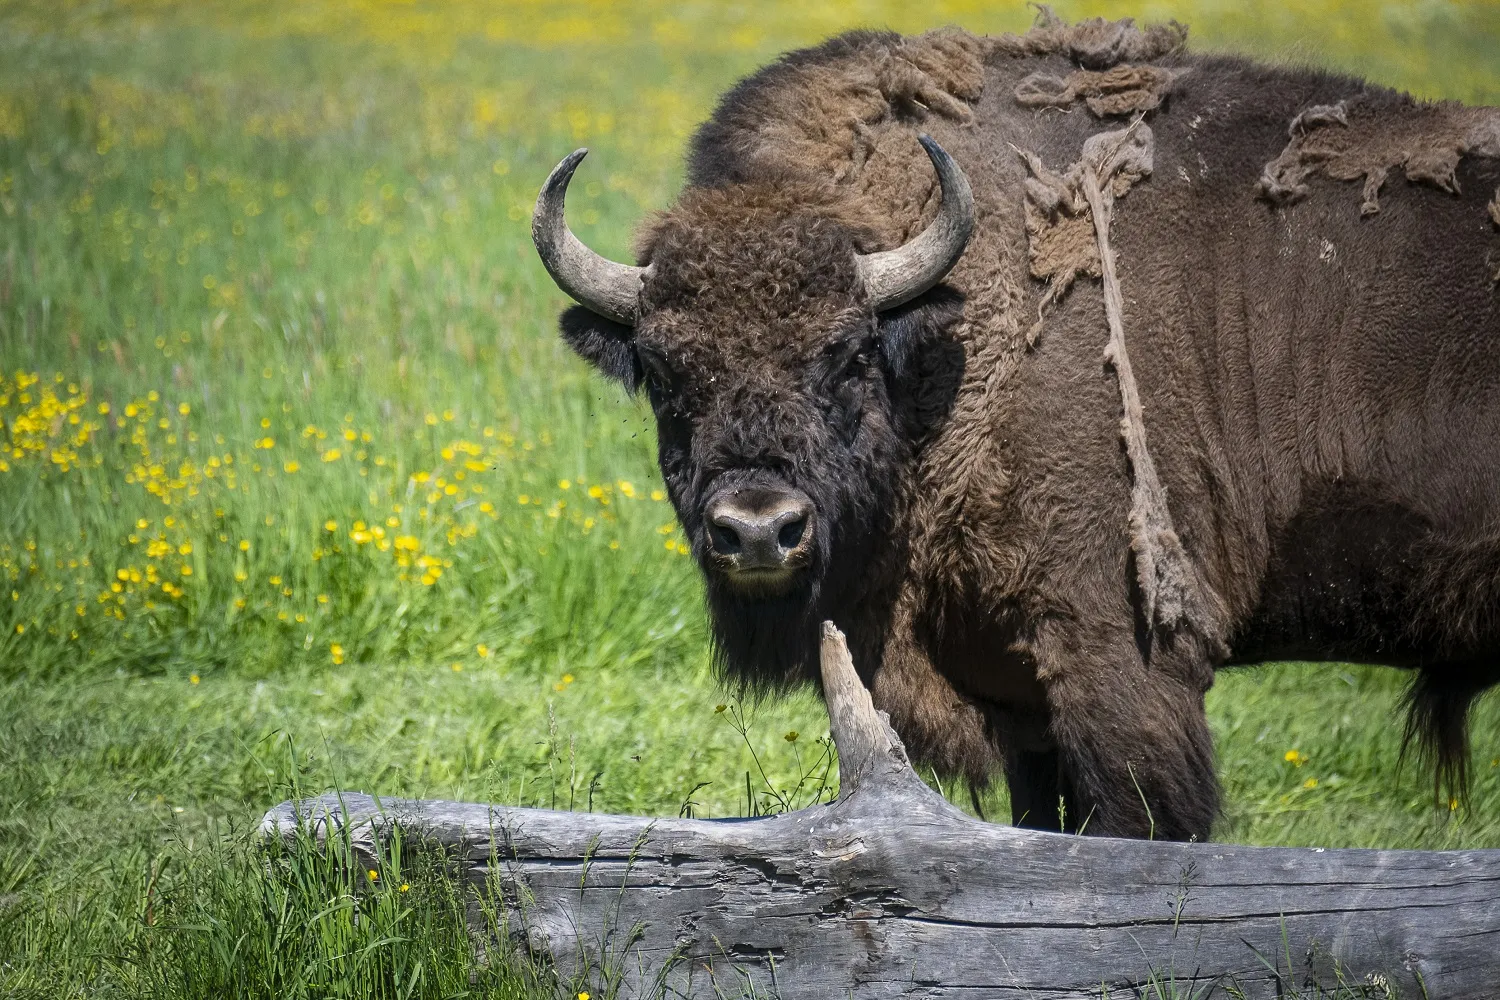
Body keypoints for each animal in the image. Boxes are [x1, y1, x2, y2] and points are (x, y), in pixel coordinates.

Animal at [534, 11, 1500, 839]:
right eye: (664, 372)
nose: (760, 532)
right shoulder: (1022, 700)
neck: (946, 349)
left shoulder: (1123, 665)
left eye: (848, 354)